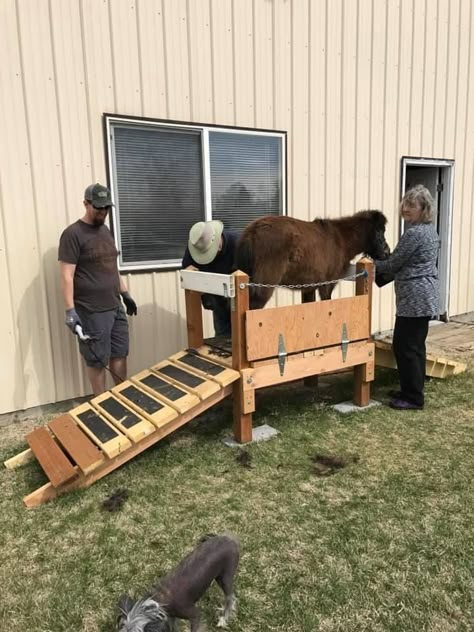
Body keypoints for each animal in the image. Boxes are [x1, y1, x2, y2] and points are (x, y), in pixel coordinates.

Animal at [236, 210, 388, 308]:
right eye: (379, 231)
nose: (387, 252)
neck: (340, 239)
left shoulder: (309, 287)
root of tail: (253, 232)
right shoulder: (327, 285)